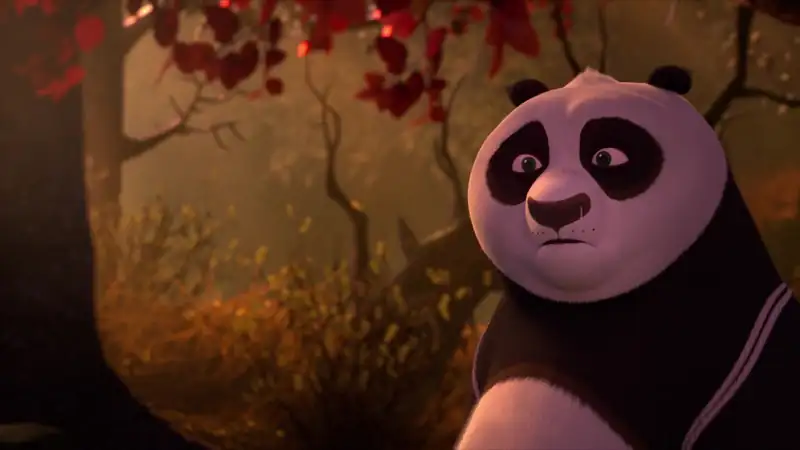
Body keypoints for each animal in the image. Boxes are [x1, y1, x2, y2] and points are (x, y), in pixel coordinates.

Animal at [458, 66, 800, 450]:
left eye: (606, 157)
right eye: (527, 163)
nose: (555, 209)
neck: (580, 306)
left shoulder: (746, 340)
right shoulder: (489, 350)